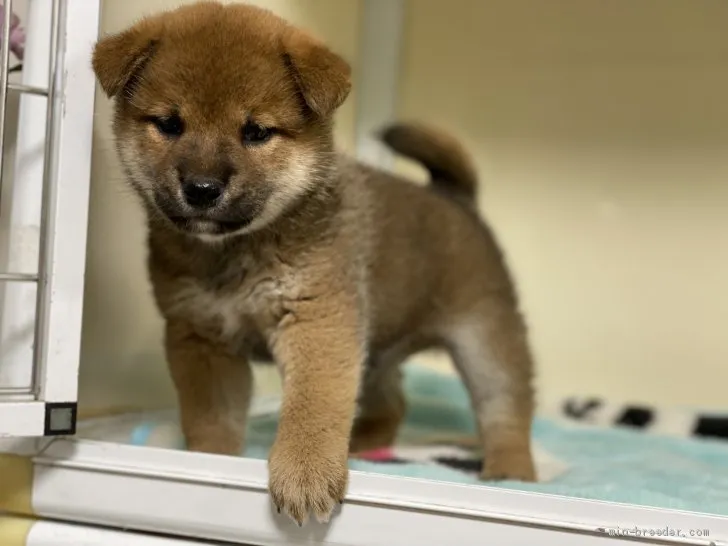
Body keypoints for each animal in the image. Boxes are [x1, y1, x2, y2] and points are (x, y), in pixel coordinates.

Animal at [91, 1, 536, 528]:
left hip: (484, 340)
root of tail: (455, 199)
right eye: (169, 124)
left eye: (256, 132)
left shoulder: (316, 321)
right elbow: (212, 419)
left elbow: (313, 409)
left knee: (505, 411)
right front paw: (210, 462)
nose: (201, 188)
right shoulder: (202, 339)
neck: (238, 252)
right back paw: (365, 445)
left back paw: (511, 475)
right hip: (376, 348)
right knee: (392, 401)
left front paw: (305, 474)